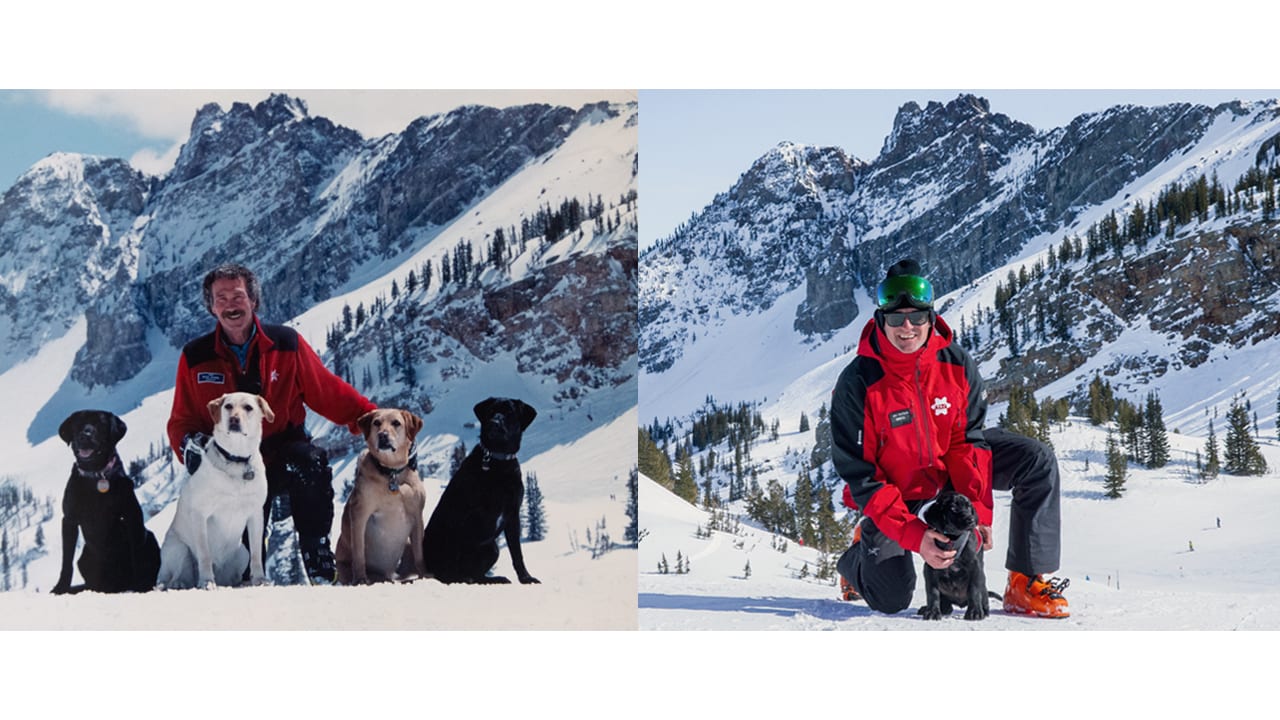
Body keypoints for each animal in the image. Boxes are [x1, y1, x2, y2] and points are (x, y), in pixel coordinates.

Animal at [51, 409, 159, 594]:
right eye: (77, 423)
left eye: (100, 423)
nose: (85, 434)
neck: (96, 475)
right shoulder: (69, 519)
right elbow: (66, 561)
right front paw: (60, 588)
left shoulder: (131, 515)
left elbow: (136, 553)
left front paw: (140, 585)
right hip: (85, 557)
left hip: (150, 537)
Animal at [422, 397, 537, 584]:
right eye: (490, 411)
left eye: (510, 413)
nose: (494, 422)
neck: (498, 462)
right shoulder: (466, 515)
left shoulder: (513, 513)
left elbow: (517, 553)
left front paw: (526, 578)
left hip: (492, 548)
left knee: (476, 574)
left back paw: (494, 579)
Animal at [921, 489, 988, 620]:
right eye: (953, 508)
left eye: (969, 507)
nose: (971, 520)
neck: (953, 538)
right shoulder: (930, 567)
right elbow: (932, 592)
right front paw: (932, 611)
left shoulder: (975, 566)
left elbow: (974, 589)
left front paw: (975, 612)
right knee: (946, 606)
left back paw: (984, 610)